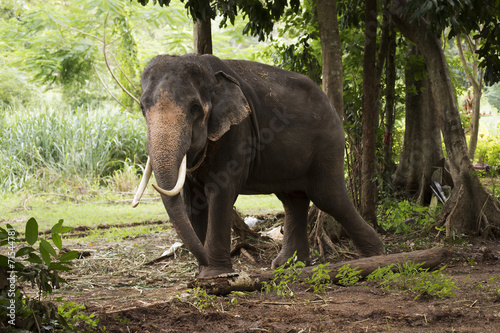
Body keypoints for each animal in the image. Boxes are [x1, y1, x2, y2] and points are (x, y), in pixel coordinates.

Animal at [131, 53, 384, 278]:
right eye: (142, 108)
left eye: (195, 108)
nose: (202, 261)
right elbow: (193, 201)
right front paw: (205, 275)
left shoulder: (237, 132)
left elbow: (220, 193)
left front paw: (216, 274)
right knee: (293, 199)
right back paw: (288, 265)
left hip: (327, 146)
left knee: (329, 197)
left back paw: (375, 256)